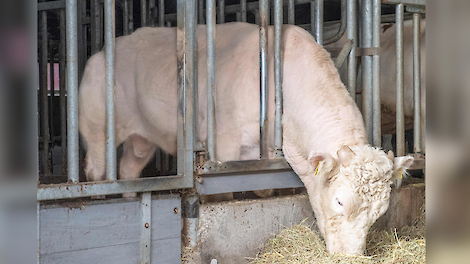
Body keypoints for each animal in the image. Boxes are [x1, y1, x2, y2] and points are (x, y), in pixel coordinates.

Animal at [79, 23, 414, 256]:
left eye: (380, 212)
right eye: (340, 200)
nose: (349, 256)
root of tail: (101, 53)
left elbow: (264, 191)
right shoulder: (224, 146)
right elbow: (223, 195)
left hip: (142, 139)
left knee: (129, 169)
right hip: (97, 126)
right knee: (97, 171)